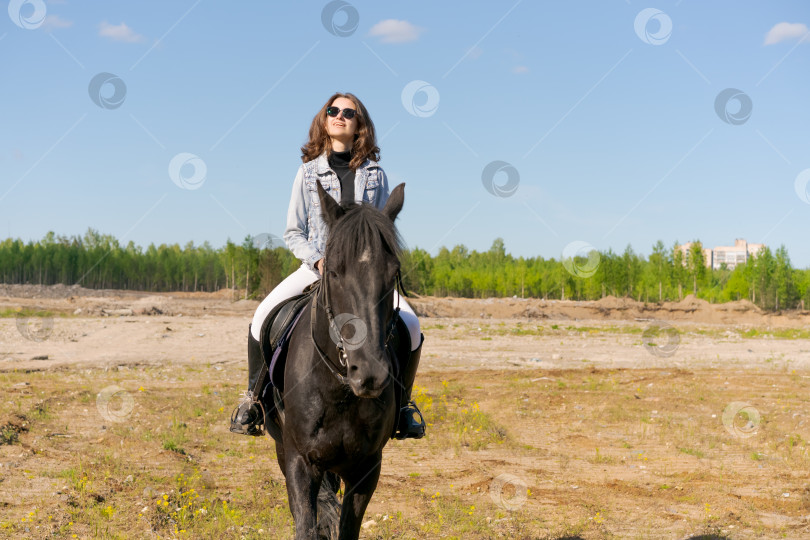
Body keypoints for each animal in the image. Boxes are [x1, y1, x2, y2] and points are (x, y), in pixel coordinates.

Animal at [264, 182, 408, 540]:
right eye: (333, 271)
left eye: (394, 273)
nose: (369, 374)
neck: (339, 391)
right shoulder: (299, 463)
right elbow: (306, 526)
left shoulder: (367, 469)